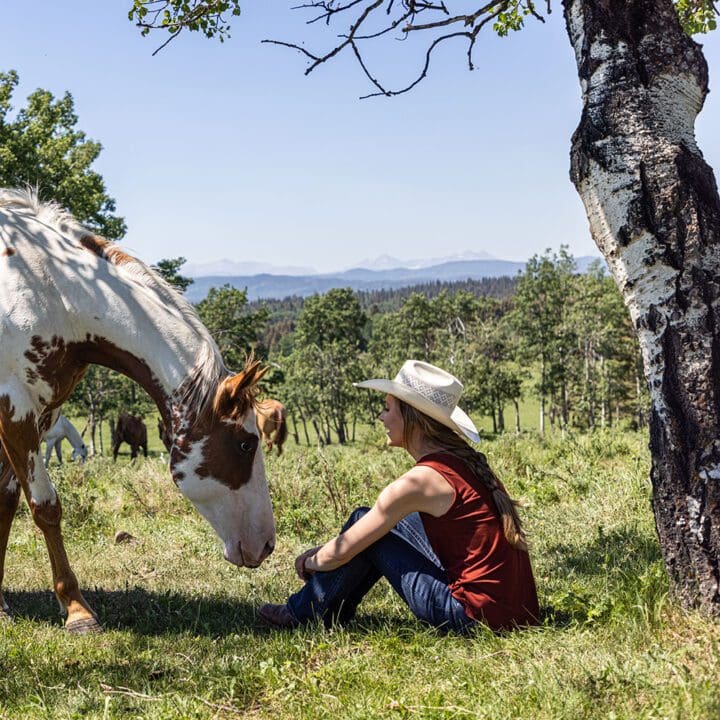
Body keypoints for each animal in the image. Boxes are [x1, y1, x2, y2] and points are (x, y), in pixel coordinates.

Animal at [0, 188, 276, 632]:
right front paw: (76, 609)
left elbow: (6, 503)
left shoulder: (37, 414)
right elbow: (45, 506)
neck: (45, 286)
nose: (266, 545)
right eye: (246, 445)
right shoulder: (14, 409)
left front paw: (1, 604)